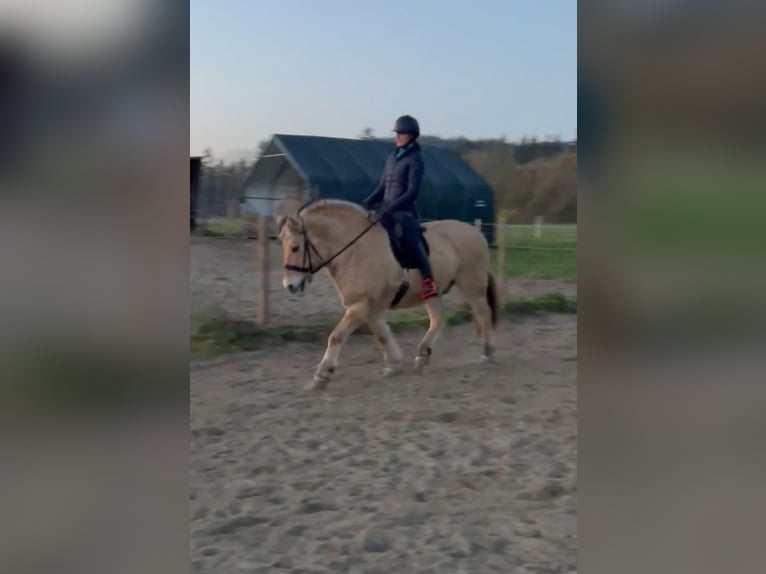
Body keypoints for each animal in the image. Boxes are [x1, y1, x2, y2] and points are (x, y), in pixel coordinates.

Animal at [274, 198, 498, 392]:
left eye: (295, 247)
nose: (290, 285)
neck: (355, 251)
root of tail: (475, 232)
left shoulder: (361, 306)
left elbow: (336, 336)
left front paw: (321, 376)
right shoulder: (370, 307)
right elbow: (382, 335)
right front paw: (394, 364)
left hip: (472, 286)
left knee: (483, 314)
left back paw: (487, 352)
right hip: (432, 293)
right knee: (438, 320)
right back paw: (423, 355)